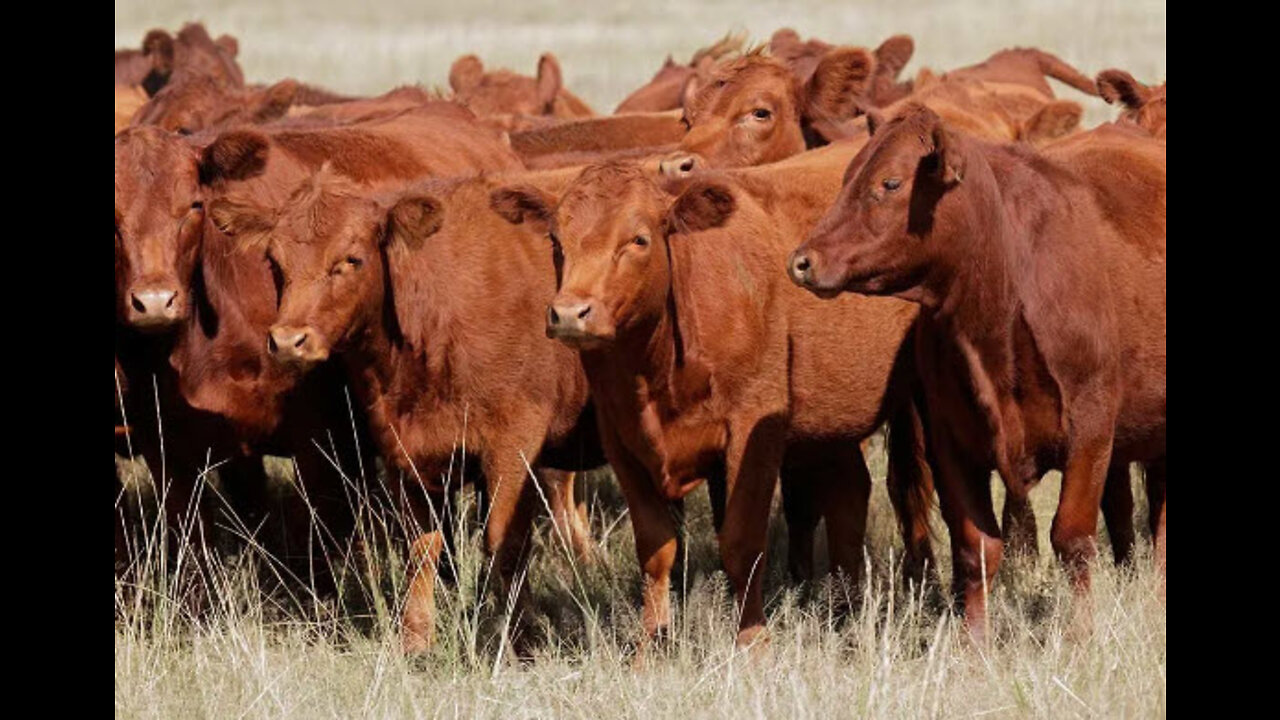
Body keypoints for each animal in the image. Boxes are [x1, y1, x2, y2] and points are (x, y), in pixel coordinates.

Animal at [211, 163, 604, 655]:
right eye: (274, 262)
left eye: (351, 260)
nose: (287, 341)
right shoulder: (405, 452)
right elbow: (421, 548)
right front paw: (415, 640)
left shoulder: (514, 444)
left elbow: (506, 543)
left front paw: (522, 640)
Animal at [494, 155, 936, 645]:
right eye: (556, 240)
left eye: (639, 239)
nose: (571, 313)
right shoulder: (622, 440)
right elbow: (656, 548)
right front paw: (650, 644)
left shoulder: (754, 428)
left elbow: (741, 541)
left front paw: (752, 643)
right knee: (850, 493)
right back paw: (845, 608)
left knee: (909, 493)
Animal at [783, 103, 1167, 630]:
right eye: (846, 177)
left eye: (890, 183)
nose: (803, 261)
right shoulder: (951, 441)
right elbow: (976, 549)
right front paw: (973, 641)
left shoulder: (1091, 430)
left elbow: (1072, 539)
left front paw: (1079, 634)